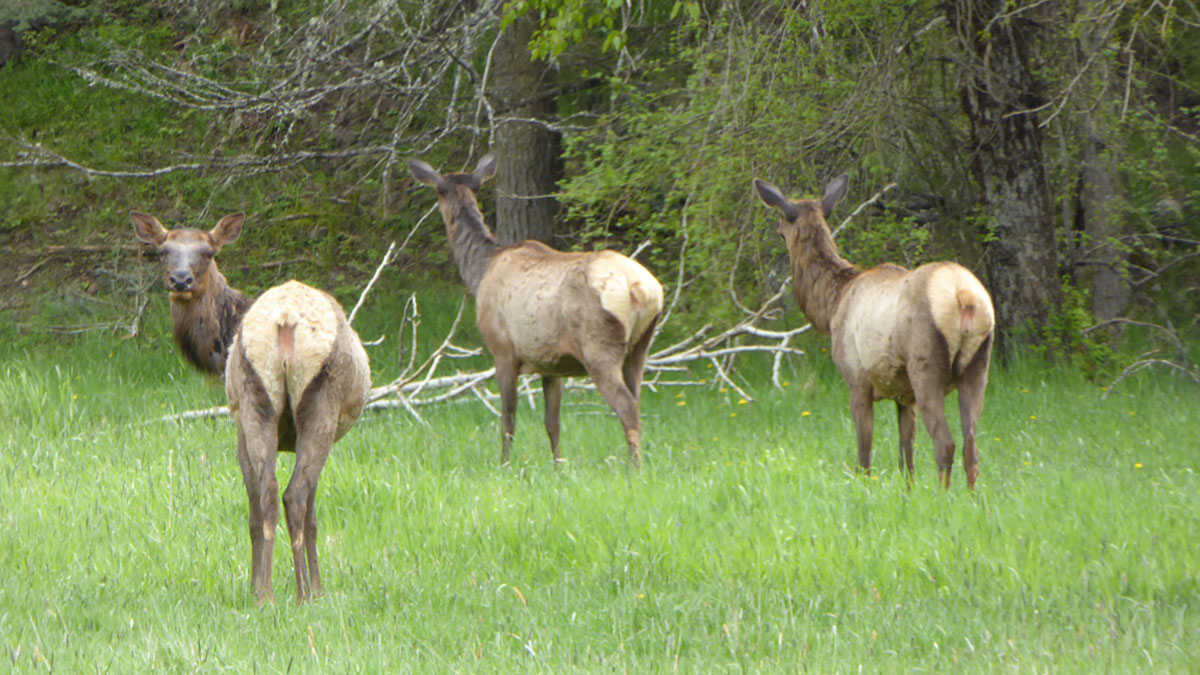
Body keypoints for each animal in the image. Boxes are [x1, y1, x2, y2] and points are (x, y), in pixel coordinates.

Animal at [126, 210, 369, 598]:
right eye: (162, 251)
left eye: (208, 252)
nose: (180, 280)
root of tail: (286, 321)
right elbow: (311, 514)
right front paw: (316, 588)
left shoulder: (238, 420)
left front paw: (259, 583)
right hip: (318, 405)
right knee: (293, 495)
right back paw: (304, 594)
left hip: (257, 400)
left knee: (269, 492)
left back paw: (264, 593)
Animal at [408, 154, 662, 466]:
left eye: (438, 191)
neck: (480, 271)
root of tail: (642, 289)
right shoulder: (552, 363)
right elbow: (552, 423)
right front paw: (559, 466)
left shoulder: (503, 351)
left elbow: (508, 420)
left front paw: (504, 464)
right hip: (640, 348)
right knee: (637, 401)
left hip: (599, 347)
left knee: (627, 407)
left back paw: (633, 468)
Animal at [753, 174, 998, 487]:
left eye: (780, 226)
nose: (777, 235)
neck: (831, 306)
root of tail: (964, 297)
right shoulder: (904, 397)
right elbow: (906, 460)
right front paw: (909, 492)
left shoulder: (856, 379)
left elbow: (864, 454)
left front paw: (863, 488)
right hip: (978, 366)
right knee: (971, 445)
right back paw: (970, 496)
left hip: (926, 366)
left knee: (946, 443)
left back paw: (944, 495)